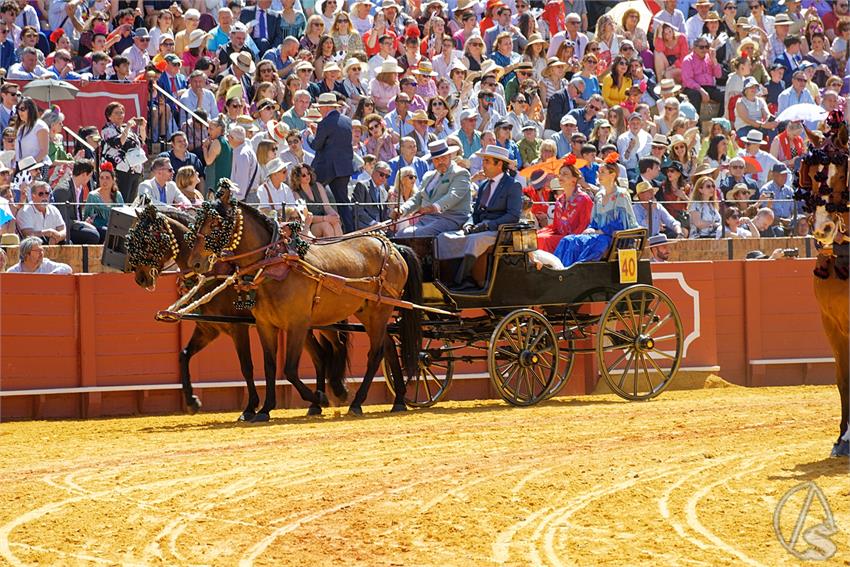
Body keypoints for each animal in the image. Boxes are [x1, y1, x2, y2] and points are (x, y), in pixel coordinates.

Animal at [125, 206, 348, 420]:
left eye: (145, 239)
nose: (140, 277)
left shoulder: (237, 328)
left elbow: (246, 366)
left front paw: (250, 408)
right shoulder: (208, 329)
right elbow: (184, 355)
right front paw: (192, 402)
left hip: (324, 321)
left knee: (337, 345)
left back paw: (337, 391)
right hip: (302, 325)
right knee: (321, 355)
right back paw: (316, 403)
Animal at [184, 183, 420, 422]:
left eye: (215, 223)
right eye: (198, 222)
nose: (195, 262)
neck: (275, 264)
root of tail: (393, 247)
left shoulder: (297, 324)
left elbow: (289, 369)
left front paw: (319, 398)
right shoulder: (265, 325)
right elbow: (270, 366)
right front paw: (266, 409)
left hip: (379, 310)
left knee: (375, 353)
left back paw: (356, 402)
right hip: (367, 312)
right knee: (387, 346)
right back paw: (399, 400)